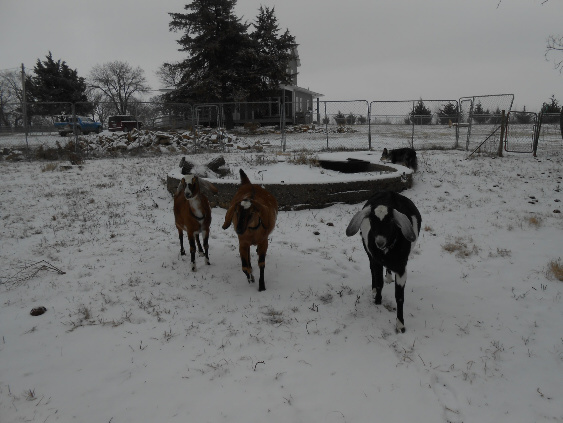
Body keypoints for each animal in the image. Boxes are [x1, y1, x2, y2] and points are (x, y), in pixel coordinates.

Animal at [346, 192, 420, 334]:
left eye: (391, 221)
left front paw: (400, 325)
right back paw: (374, 289)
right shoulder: (376, 261)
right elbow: (379, 283)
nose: (380, 242)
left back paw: (389, 277)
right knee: (371, 269)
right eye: (371, 220)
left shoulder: (402, 268)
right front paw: (377, 300)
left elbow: (400, 297)